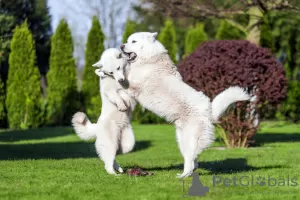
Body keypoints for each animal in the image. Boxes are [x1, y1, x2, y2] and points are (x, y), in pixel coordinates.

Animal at [119, 32, 251, 178]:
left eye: (133, 41)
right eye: (128, 41)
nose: (121, 46)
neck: (149, 57)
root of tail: (209, 112)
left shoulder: (134, 83)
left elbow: (122, 79)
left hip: (190, 141)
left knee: (191, 161)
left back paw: (183, 176)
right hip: (182, 141)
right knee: (193, 161)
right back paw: (185, 174)